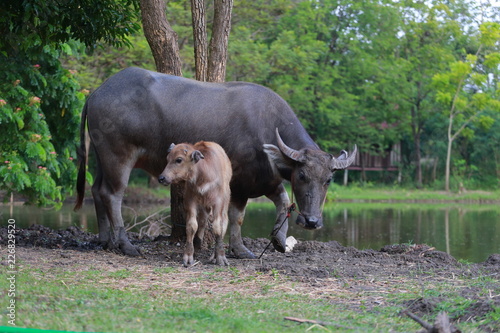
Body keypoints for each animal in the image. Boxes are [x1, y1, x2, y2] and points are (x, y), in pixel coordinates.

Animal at [73, 65, 356, 256]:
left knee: (97, 190)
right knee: (113, 194)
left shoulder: (266, 179)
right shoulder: (241, 183)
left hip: (100, 156)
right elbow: (237, 216)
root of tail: (97, 92)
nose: (312, 222)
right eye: (302, 175)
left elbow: (284, 201)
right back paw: (125, 244)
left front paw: (278, 240)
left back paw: (105, 239)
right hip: (118, 155)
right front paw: (240, 249)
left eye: (328, 180)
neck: (266, 129)